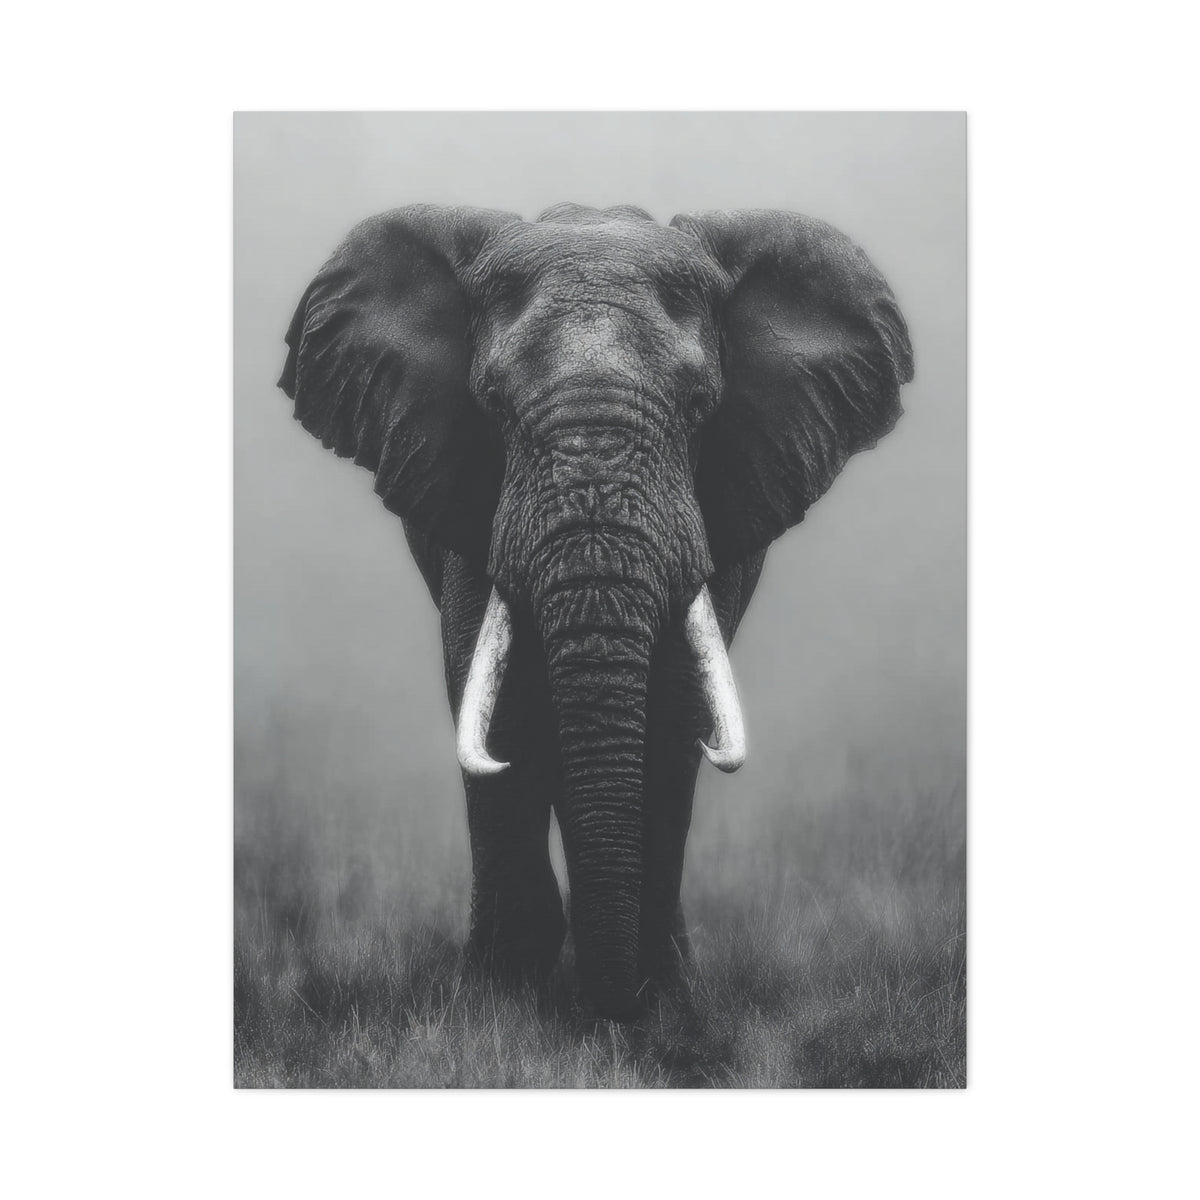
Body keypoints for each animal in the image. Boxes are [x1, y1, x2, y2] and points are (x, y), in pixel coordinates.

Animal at [278, 202, 913, 1018]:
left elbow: (675, 714)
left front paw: (658, 1001)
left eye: (701, 407)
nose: (607, 1008)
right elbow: (501, 707)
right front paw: (502, 996)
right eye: (492, 404)